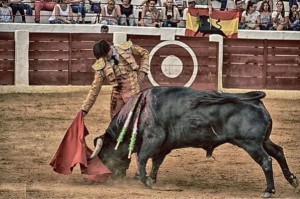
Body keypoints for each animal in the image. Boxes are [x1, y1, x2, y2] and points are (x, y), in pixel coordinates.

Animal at [91, 86, 298, 197]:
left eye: (104, 155)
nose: (111, 177)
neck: (139, 112)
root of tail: (256, 102)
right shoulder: (164, 146)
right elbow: (156, 162)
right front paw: (153, 179)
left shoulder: (153, 139)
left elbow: (142, 158)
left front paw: (146, 181)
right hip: (264, 140)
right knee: (278, 152)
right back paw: (292, 179)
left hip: (251, 143)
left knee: (266, 160)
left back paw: (269, 190)